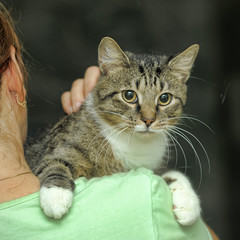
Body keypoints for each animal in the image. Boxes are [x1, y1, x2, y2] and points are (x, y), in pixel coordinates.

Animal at [27, 36, 202, 224]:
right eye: (129, 95)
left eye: (164, 98)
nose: (148, 120)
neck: (133, 143)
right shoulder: (57, 145)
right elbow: (54, 161)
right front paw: (56, 195)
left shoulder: (153, 166)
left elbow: (170, 173)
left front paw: (188, 202)